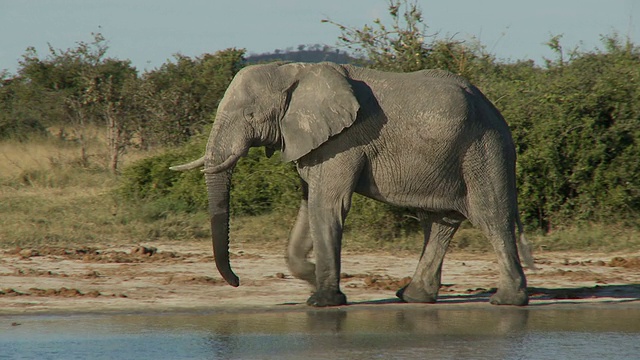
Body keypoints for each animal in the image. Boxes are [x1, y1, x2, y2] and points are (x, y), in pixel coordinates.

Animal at [171, 61, 536, 306]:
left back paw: (507, 301)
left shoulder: (344, 140)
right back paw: (412, 296)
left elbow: (327, 205)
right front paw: (312, 275)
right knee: (439, 223)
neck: (294, 71)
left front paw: (322, 301)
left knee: (491, 217)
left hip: (484, 149)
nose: (236, 282)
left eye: (249, 116)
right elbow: (309, 205)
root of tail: (495, 109)